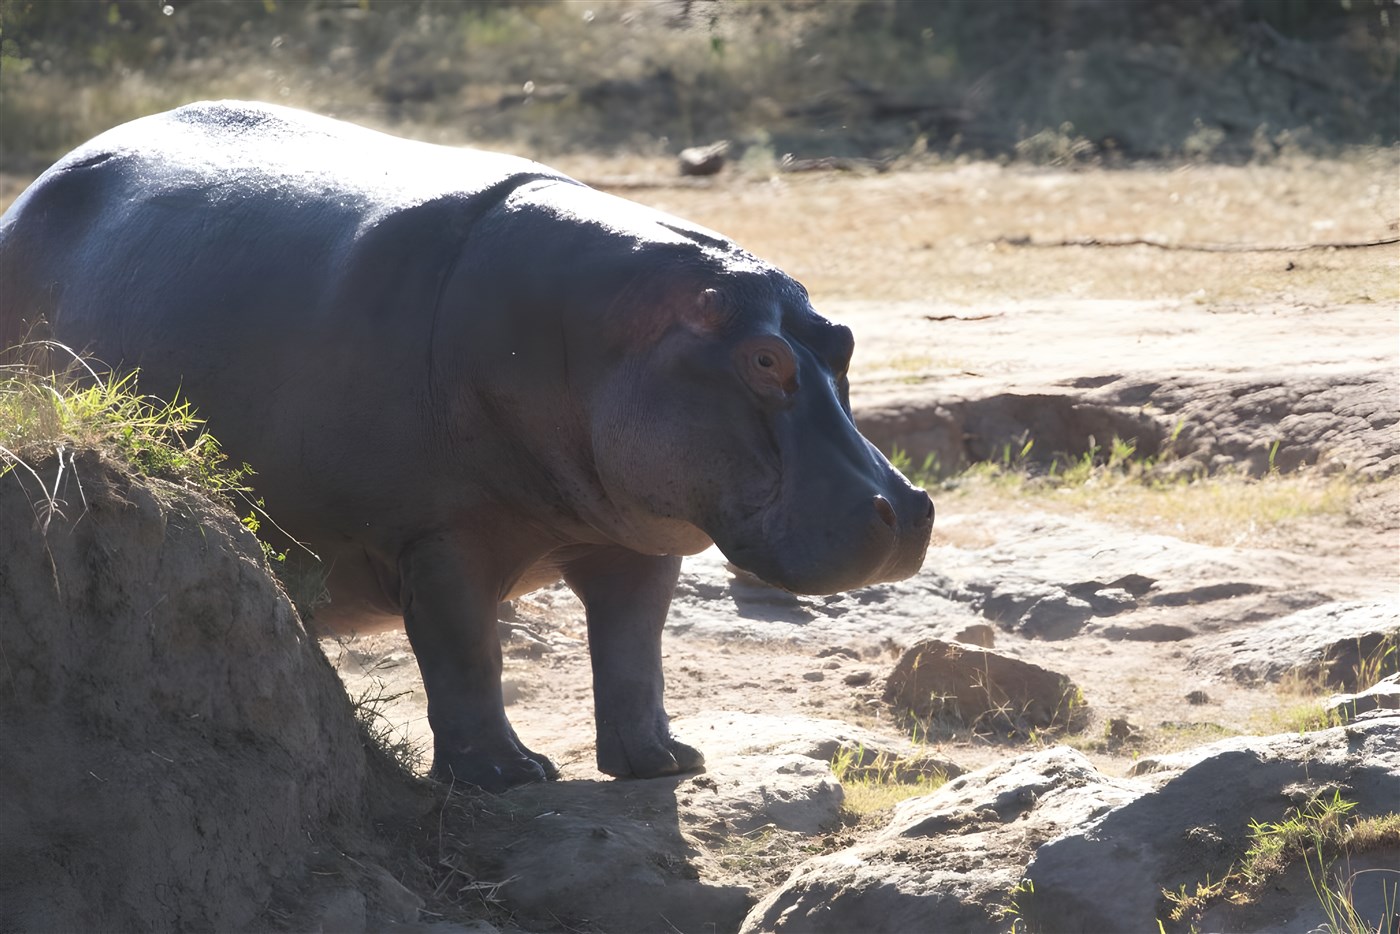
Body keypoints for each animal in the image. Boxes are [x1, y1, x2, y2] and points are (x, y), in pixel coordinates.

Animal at [0, 101, 933, 791]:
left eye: (843, 340)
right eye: (764, 360)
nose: (909, 508)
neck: (605, 334)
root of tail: (40, 182)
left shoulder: (639, 538)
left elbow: (636, 652)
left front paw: (665, 763)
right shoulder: (441, 538)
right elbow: (466, 654)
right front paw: (512, 777)